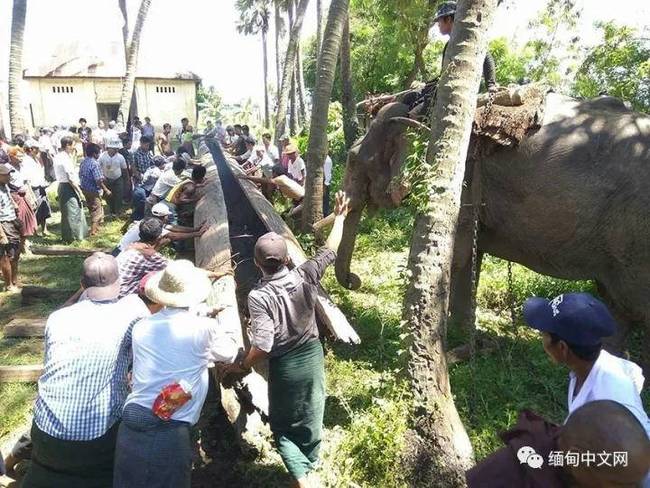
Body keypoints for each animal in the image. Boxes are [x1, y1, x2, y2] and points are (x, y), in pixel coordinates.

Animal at [334, 90, 648, 366]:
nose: (354, 280)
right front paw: (466, 334)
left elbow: (458, 254)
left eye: (353, 159)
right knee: (615, 307)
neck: (422, 109)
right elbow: (471, 256)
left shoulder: (460, 180)